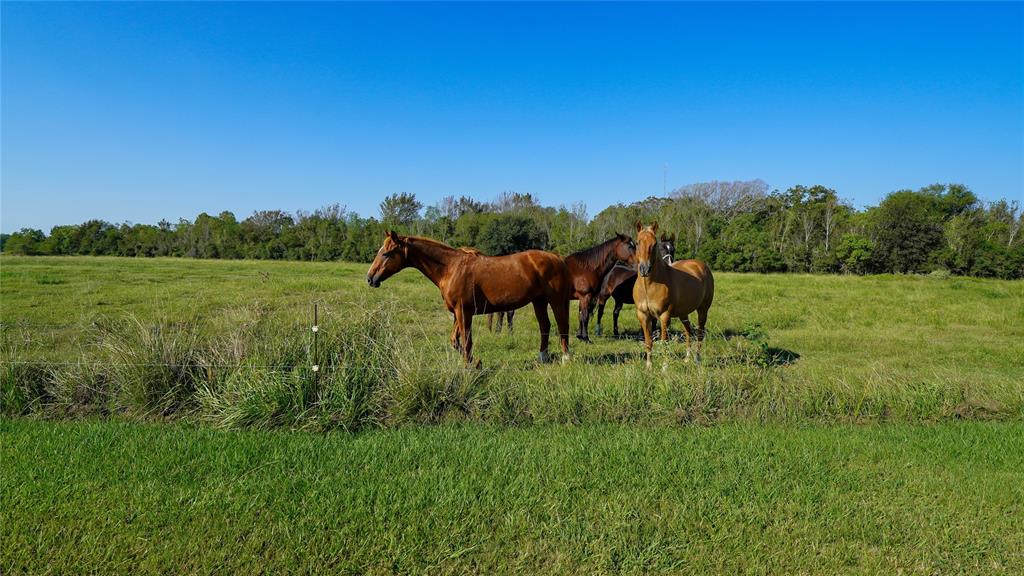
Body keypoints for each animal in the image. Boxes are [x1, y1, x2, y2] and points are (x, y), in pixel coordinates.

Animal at [368, 229, 577, 360]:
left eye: (386, 254)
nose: (370, 278)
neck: (451, 268)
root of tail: (557, 258)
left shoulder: (464, 312)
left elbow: (467, 342)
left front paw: (469, 368)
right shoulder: (457, 313)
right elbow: (455, 341)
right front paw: (474, 363)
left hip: (556, 301)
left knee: (562, 325)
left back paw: (566, 357)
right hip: (538, 301)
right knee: (545, 326)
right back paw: (542, 357)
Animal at [626, 222, 716, 364]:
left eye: (654, 244)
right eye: (637, 242)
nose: (645, 269)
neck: (649, 287)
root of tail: (701, 266)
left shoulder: (664, 316)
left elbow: (664, 343)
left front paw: (664, 366)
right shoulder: (643, 316)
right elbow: (648, 342)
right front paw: (649, 366)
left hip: (703, 309)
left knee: (700, 333)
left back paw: (697, 360)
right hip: (683, 313)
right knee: (688, 331)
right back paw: (687, 358)